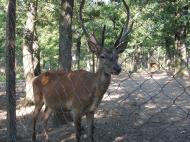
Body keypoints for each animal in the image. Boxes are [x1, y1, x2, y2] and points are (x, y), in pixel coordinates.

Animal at [32, 0, 134, 142]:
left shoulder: (91, 110)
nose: (117, 68)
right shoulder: (75, 109)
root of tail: (35, 79)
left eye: (117, 55)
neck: (92, 93)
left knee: (44, 120)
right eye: (102, 56)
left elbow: (91, 134)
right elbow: (78, 136)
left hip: (51, 104)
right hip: (37, 98)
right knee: (34, 118)